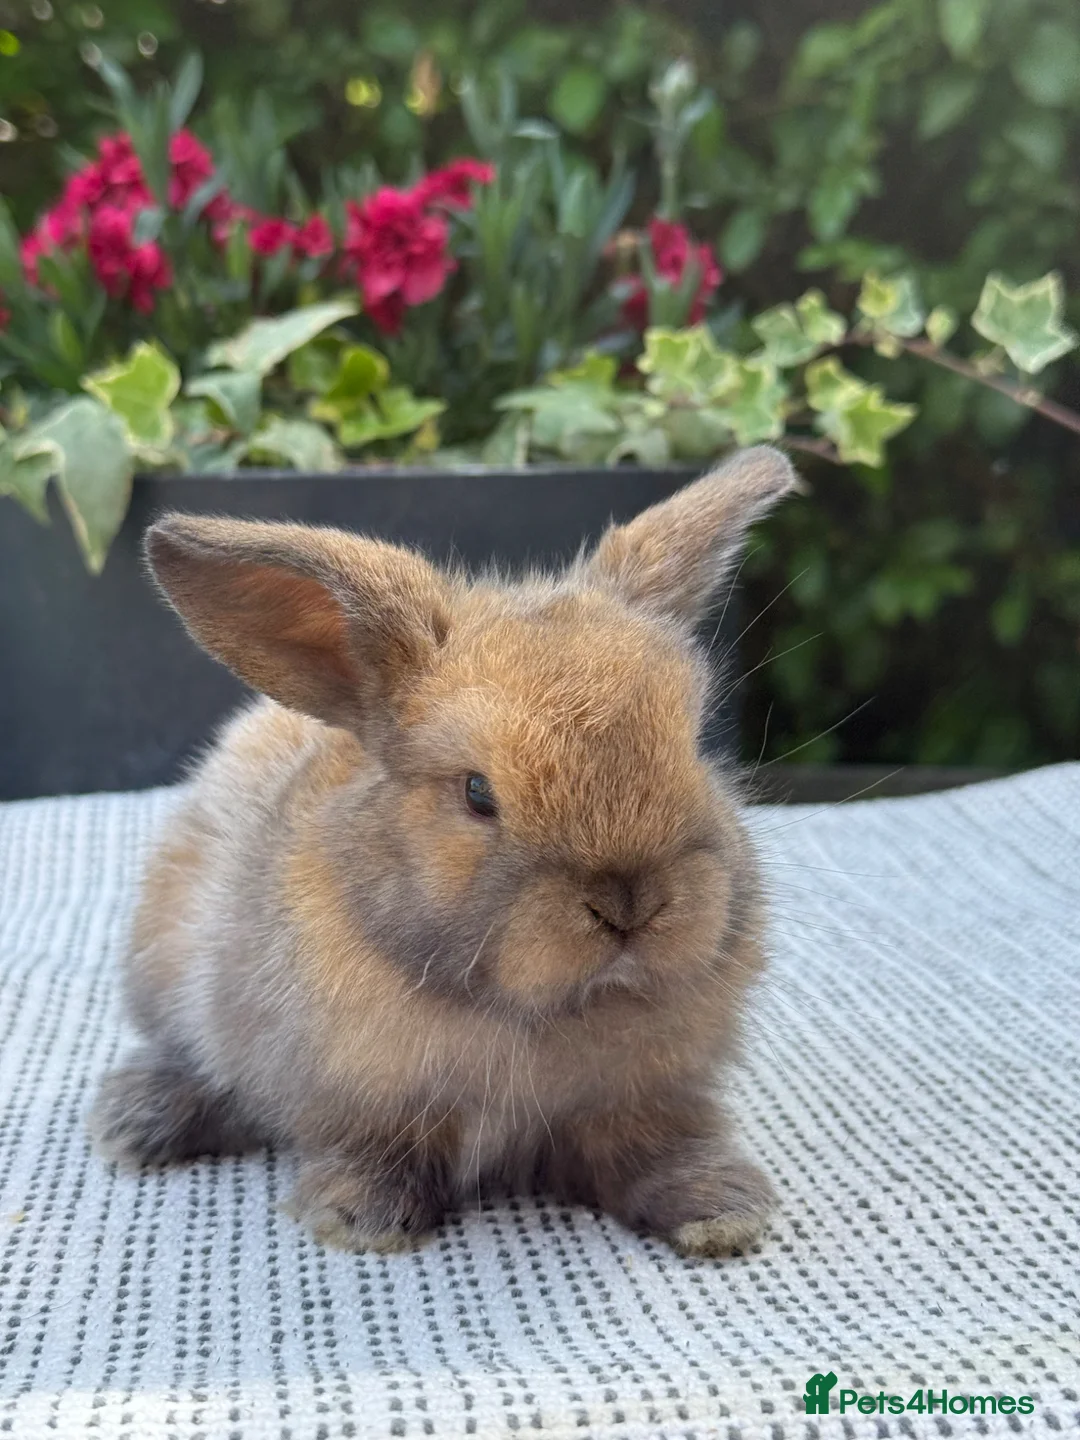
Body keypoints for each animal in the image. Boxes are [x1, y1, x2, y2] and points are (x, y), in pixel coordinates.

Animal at [89, 444, 800, 1258]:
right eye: (477, 792)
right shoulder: (361, 1099)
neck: (542, 1014)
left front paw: (722, 1211)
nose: (630, 903)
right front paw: (362, 1219)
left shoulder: (644, 1099)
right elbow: (371, 1150)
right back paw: (135, 1119)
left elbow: (657, 1150)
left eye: (693, 749)